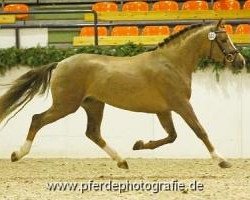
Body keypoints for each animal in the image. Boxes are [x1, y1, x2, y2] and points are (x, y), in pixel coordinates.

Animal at [0, 20, 245, 170]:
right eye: (224, 40)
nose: (241, 62)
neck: (172, 63)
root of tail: (60, 63)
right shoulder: (181, 104)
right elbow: (199, 131)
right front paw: (222, 160)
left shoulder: (164, 109)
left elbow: (171, 136)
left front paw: (139, 144)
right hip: (65, 105)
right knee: (37, 119)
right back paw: (17, 154)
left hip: (93, 105)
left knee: (93, 133)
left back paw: (122, 161)